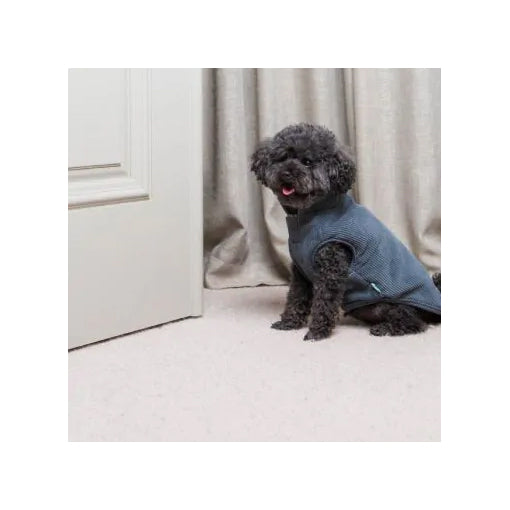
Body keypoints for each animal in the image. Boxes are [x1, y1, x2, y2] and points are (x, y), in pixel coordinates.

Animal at [250, 123, 441, 341]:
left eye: (307, 162)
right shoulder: (300, 272)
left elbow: (323, 302)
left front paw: (317, 332)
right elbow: (295, 298)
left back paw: (384, 328)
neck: (309, 217)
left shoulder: (332, 267)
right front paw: (288, 322)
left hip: (389, 305)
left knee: (414, 322)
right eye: (282, 157)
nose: (287, 173)